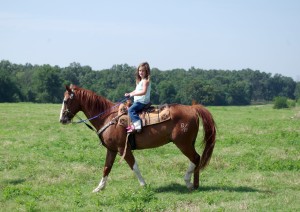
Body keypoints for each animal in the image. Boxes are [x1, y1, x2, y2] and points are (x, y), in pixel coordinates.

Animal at [59, 84, 217, 192]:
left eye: (66, 101)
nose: (62, 119)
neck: (108, 117)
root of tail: (192, 108)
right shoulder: (111, 150)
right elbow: (106, 168)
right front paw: (99, 188)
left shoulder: (123, 149)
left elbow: (134, 166)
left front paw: (143, 184)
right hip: (188, 143)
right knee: (196, 159)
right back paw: (194, 183)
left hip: (183, 143)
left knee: (195, 158)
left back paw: (190, 182)